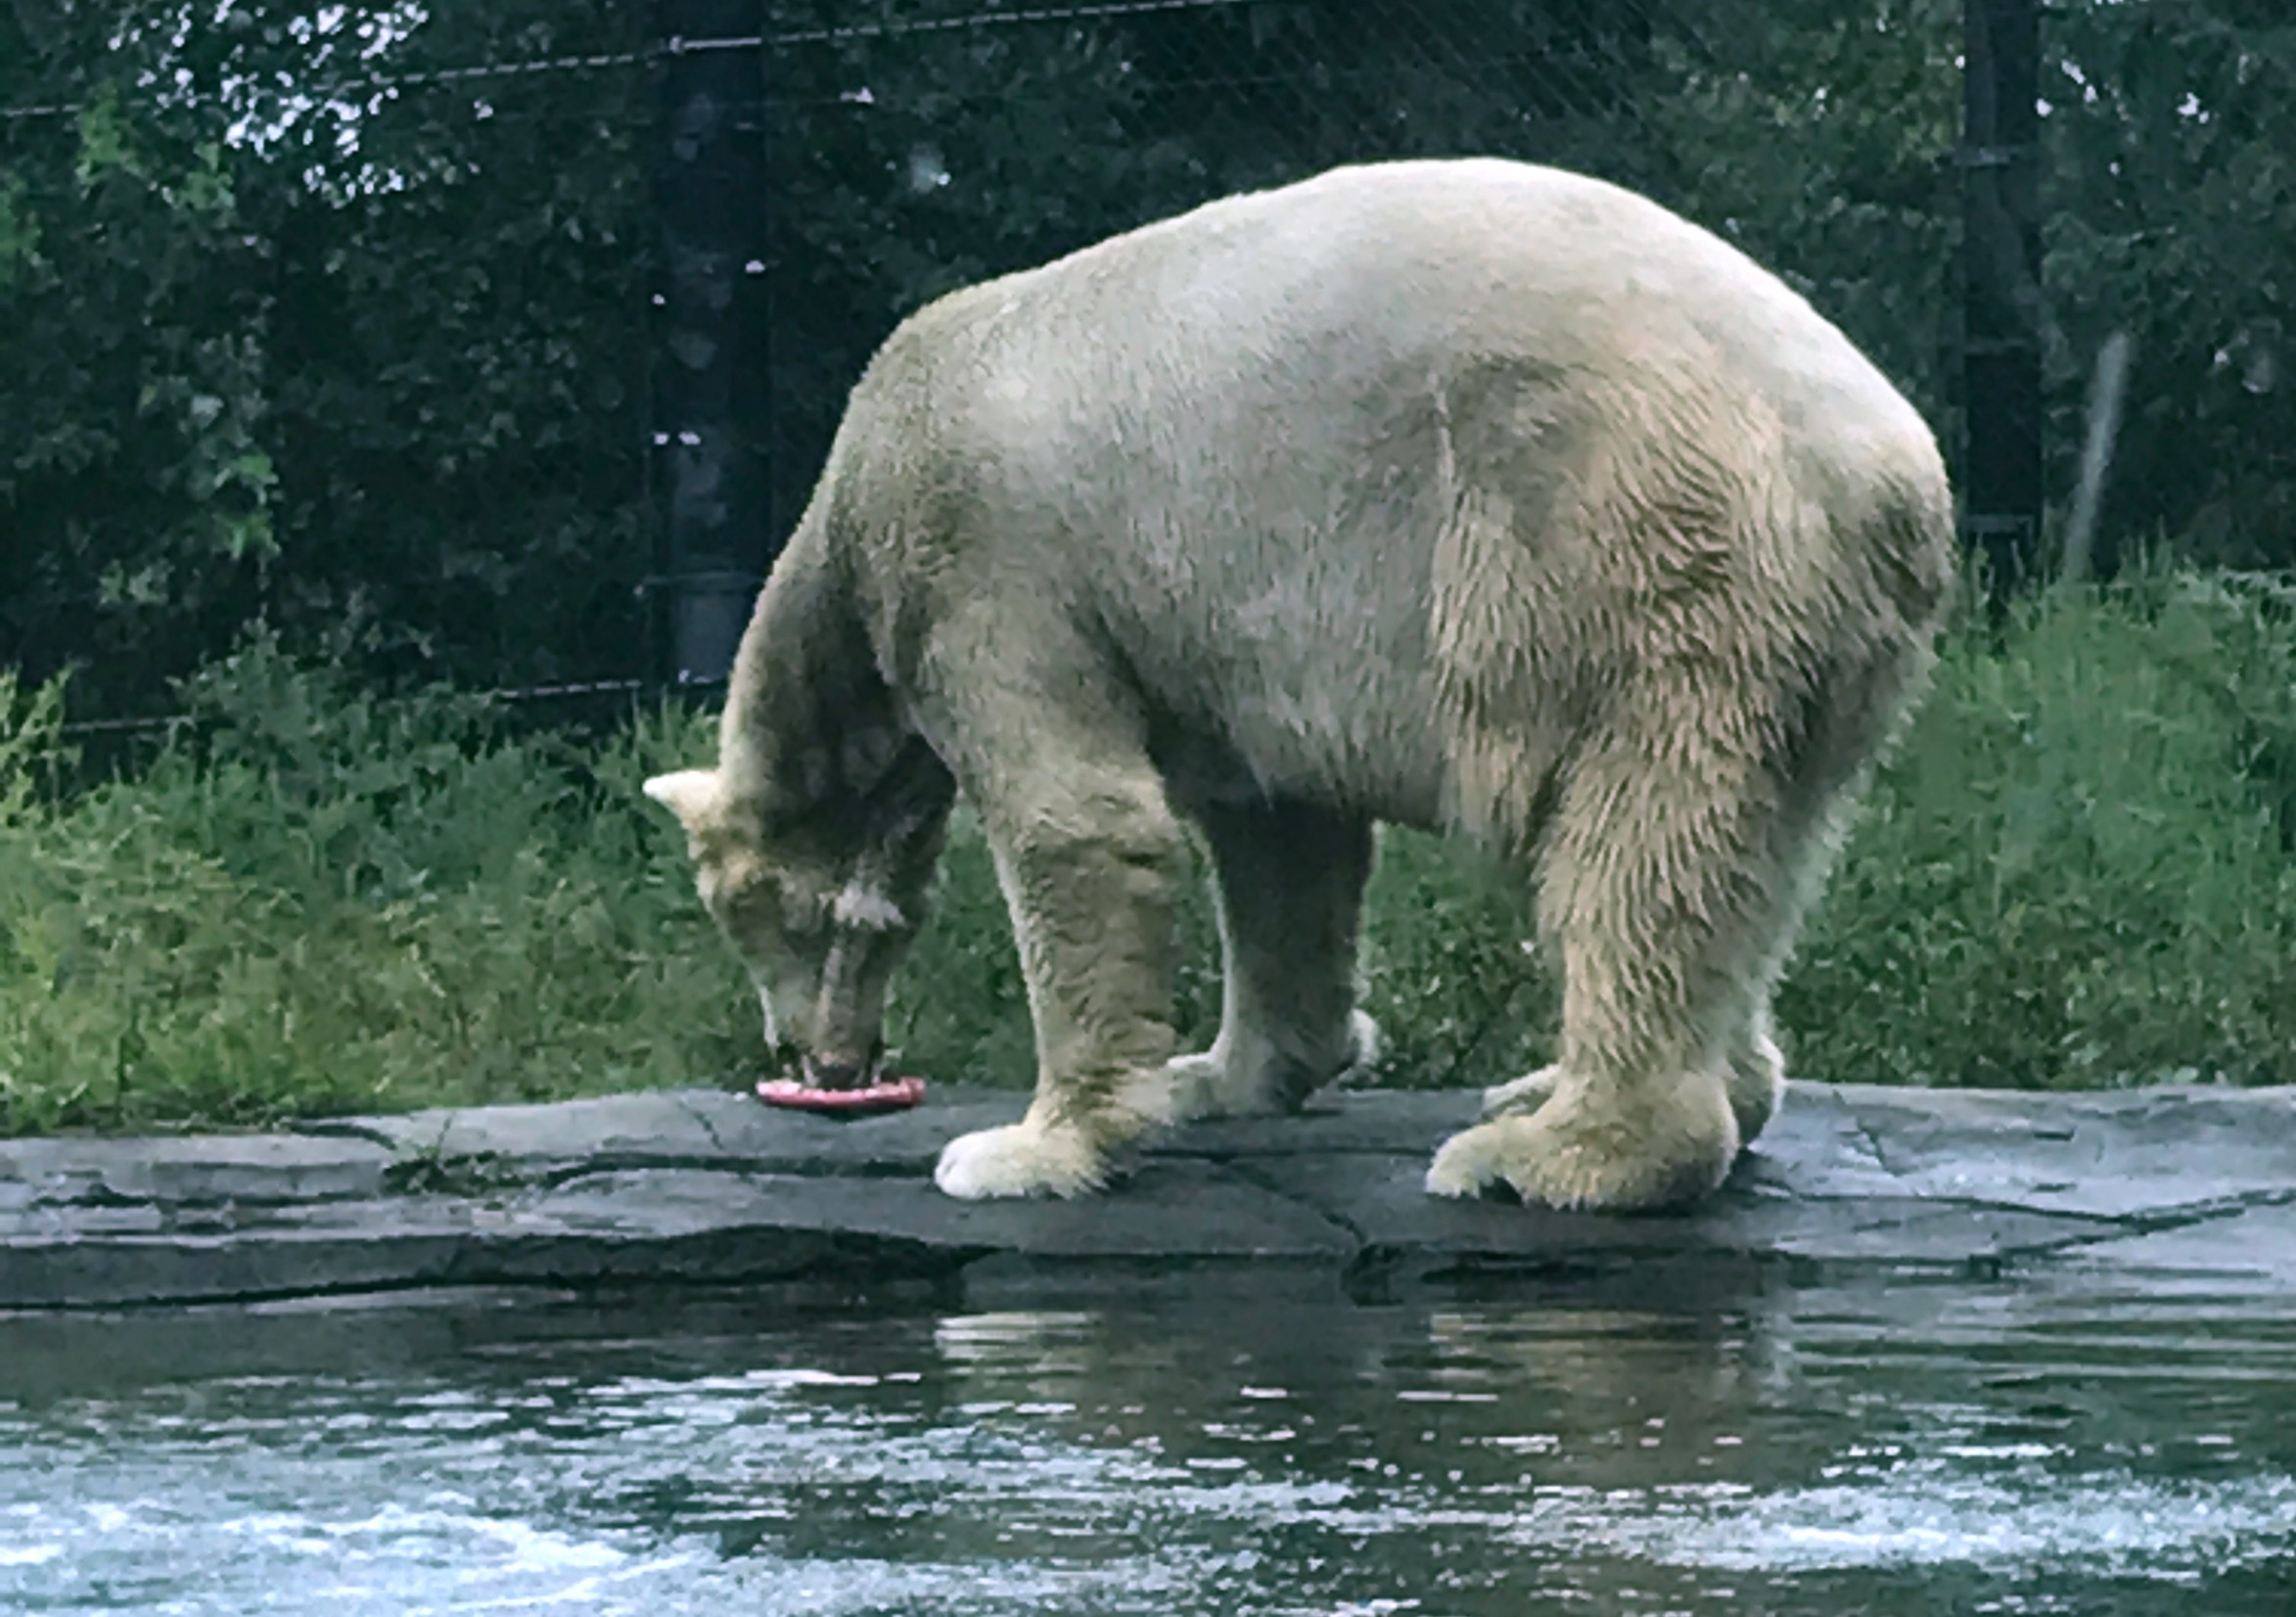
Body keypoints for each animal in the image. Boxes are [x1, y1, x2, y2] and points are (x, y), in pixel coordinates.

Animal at [647, 158, 1955, 1213]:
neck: (848, 517)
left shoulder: (986, 563)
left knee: (1630, 837)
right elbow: (1283, 838)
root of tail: (1891, 469)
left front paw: (1028, 1148)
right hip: (1804, 634)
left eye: (753, 923)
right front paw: (1221, 1073)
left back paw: (1546, 1150)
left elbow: (1083, 822)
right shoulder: (1236, 651)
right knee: (1757, 847)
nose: (822, 1064)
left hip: (1627, 543)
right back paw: (1597, 1088)